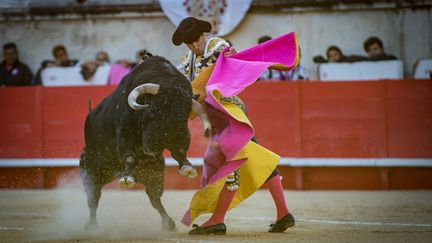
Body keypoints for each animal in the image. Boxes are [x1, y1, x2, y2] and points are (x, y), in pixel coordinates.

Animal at [80, 55, 212, 232]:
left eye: (182, 116)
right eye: (153, 111)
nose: (155, 147)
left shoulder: (181, 134)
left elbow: (180, 150)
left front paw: (187, 167)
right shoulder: (124, 133)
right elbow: (129, 155)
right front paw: (127, 178)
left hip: (154, 172)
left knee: (155, 198)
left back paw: (168, 223)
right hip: (90, 170)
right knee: (93, 198)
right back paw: (92, 225)